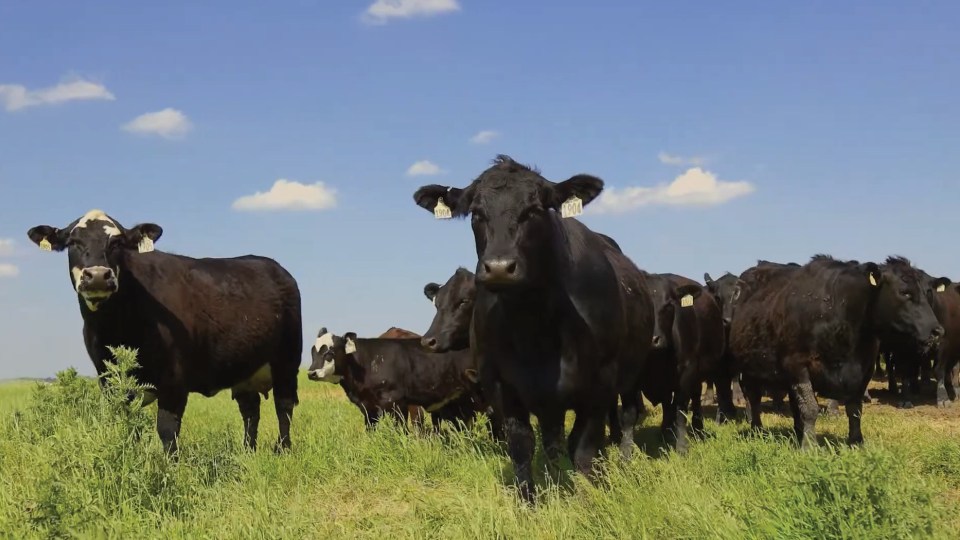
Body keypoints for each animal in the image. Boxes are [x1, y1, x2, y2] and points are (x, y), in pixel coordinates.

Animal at [26, 209, 302, 454]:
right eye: (73, 242)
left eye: (117, 242)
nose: (97, 275)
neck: (117, 326)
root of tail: (275, 267)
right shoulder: (109, 381)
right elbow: (127, 426)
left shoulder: (174, 380)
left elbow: (167, 430)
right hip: (244, 369)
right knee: (250, 410)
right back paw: (248, 451)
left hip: (287, 360)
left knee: (284, 406)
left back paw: (283, 449)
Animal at [310, 330, 488, 430]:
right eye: (313, 351)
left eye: (329, 353)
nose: (311, 373)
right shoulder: (368, 408)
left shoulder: (396, 403)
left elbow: (400, 430)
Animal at [408, 153, 656, 502]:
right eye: (477, 213)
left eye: (535, 209)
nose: (499, 267)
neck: (535, 329)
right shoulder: (503, 388)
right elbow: (522, 448)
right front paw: (532, 502)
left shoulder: (598, 385)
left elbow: (583, 449)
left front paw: (587, 499)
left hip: (632, 372)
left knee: (627, 413)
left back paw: (623, 459)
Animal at [636, 272, 728, 454]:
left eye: (669, 305)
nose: (653, 339)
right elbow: (666, 404)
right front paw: (665, 431)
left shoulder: (687, 371)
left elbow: (680, 409)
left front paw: (682, 446)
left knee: (696, 397)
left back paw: (698, 428)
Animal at [724, 254, 940, 448]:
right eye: (905, 292)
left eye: (928, 292)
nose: (937, 331)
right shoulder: (797, 364)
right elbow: (810, 408)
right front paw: (809, 446)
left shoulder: (865, 368)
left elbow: (854, 408)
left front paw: (856, 442)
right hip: (750, 368)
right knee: (754, 398)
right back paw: (757, 430)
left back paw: (797, 432)